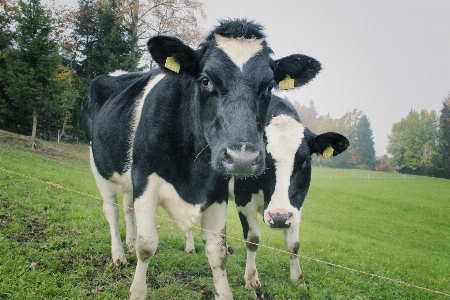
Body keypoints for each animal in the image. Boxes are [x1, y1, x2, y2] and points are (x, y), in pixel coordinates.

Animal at [82, 19, 322, 298]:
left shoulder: (220, 192)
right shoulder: (145, 180)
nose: (242, 158)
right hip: (99, 166)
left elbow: (219, 251)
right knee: (112, 210)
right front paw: (137, 290)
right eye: (205, 80)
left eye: (269, 86)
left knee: (128, 206)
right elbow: (147, 245)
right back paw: (120, 255)